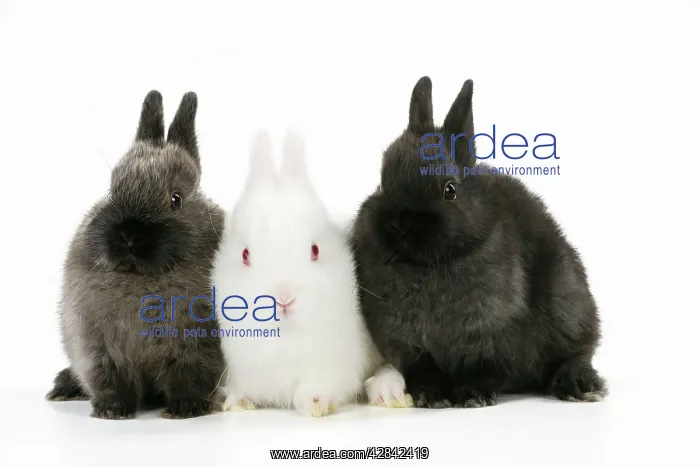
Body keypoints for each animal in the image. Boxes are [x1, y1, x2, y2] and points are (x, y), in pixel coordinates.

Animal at [45, 90, 227, 419]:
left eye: (176, 199)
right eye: (112, 190)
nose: (129, 234)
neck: (144, 279)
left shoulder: (199, 347)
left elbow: (191, 378)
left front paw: (185, 409)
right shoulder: (98, 348)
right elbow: (110, 381)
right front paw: (111, 410)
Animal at [210, 130, 381, 417]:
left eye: (315, 249)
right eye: (245, 255)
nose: (283, 298)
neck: (285, 341)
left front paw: (315, 402)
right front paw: (236, 401)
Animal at [350, 76, 607, 409]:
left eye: (449, 190)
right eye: (383, 182)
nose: (399, 225)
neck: (426, 267)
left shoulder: (490, 335)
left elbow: (484, 369)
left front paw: (472, 395)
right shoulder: (407, 343)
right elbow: (424, 370)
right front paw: (429, 395)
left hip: (569, 304)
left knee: (576, 353)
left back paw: (579, 385)